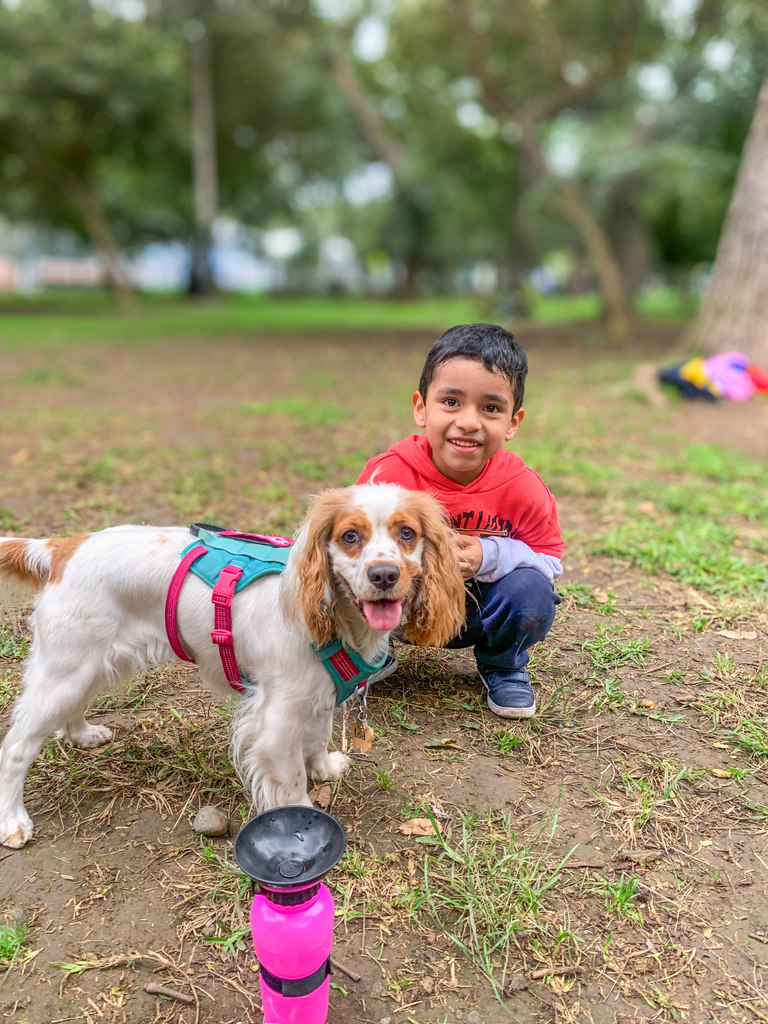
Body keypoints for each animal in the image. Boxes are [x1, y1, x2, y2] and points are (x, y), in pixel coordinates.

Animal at [0, 485, 466, 847]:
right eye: (350, 536)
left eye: (407, 534)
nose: (384, 574)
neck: (337, 620)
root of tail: (63, 546)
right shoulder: (275, 722)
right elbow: (291, 779)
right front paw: (305, 820)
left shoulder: (317, 696)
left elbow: (317, 738)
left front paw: (324, 769)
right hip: (66, 670)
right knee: (15, 748)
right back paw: (13, 823)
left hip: (86, 667)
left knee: (69, 712)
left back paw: (82, 735)